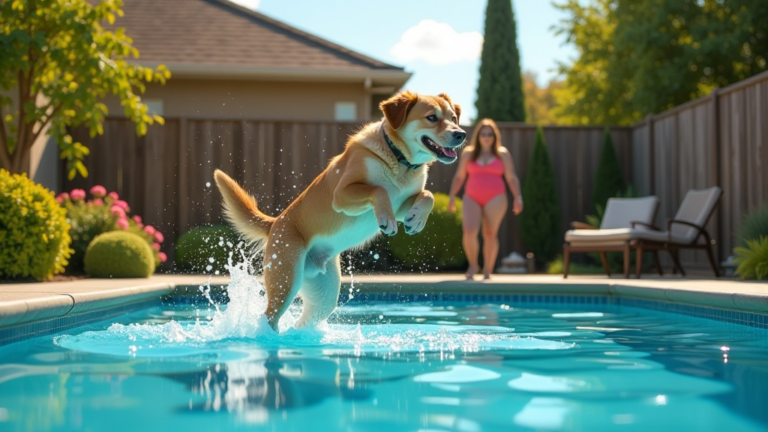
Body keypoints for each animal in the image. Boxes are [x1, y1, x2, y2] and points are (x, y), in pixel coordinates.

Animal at [216, 92, 468, 330]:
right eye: (432, 117)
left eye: (453, 118)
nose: (461, 134)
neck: (399, 159)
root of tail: (276, 222)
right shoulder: (343, 194)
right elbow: (378, 189)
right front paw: (386, 219)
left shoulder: (401, 203)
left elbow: (428, 196)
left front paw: (416, 219)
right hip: (285, 278)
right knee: (269, 316)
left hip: (324, 293)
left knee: (305, 319)